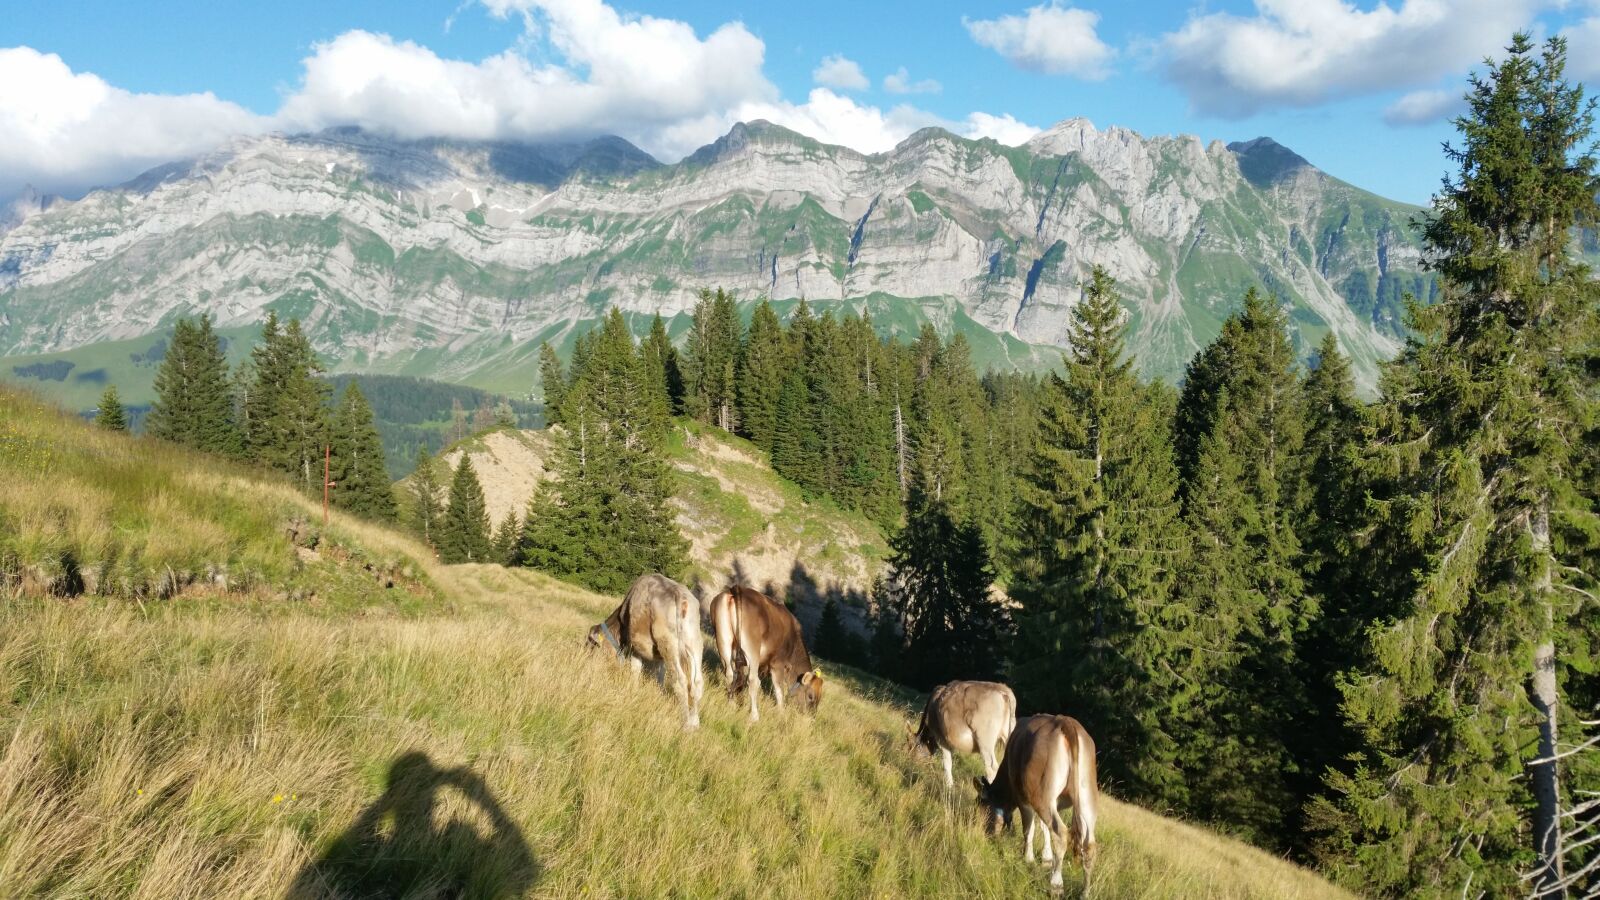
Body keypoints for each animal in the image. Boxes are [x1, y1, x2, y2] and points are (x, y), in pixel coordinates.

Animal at [585, 573, 704, 730]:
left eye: (592, 645)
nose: (587, 661)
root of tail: (680, 595)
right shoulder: (659, 657)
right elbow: (659, 677)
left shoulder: (635, 645)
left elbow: (635, 670)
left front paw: (633, 692)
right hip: (694, 641)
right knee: (697, 682)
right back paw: (695, 723)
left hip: (667, 641)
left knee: (680, 680)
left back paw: (685, 725)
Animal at [710, 582, 825, 720]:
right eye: (810, 696)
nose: (811, 718)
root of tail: (737, 589)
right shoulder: (777, 664)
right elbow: (779, 689)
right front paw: (781, 713)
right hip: (752, 650)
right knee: (753, 680)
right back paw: (754, 715)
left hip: (723, 642)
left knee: (730, 674)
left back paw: (731, 705)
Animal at [972, 714, 1100, 890]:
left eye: (980, 809)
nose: (979, 835)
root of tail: (1065, 721)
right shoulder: (1053, 803)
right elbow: (1043, 826)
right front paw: (1046, 859)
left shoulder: (1024, 798)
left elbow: (1029, 829)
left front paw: (1028, 858)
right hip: (1086, 798)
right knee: (1089, 845)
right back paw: (1085, 891)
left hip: (1040, 794)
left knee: (1060, 833)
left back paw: (1056, 884)